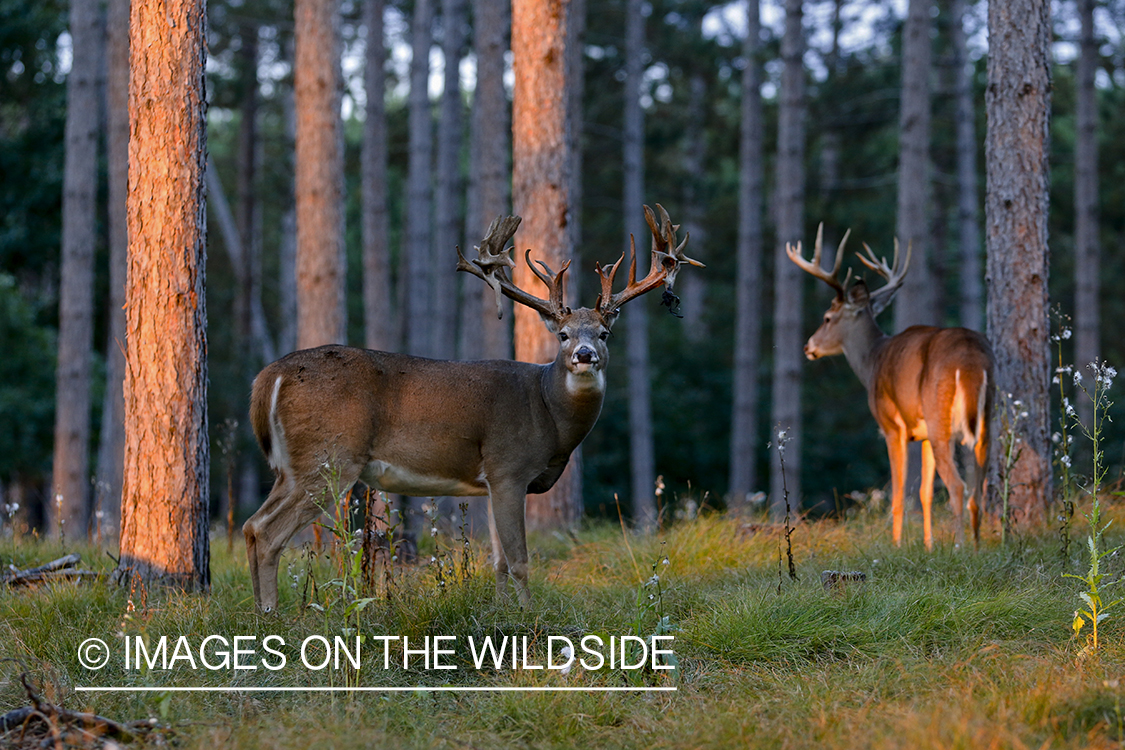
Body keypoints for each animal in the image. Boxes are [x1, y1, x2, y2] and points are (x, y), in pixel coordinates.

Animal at [244, 203, 702, 611]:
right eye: (564, 335)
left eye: (605, 333)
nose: (585, 354)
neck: (549, 415)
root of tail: (268, 376)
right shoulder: (508, 466)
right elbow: (519, 560)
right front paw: (530, 616)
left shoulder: (490, 482)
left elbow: (497, 561)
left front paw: (501, 613)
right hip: (331, 457)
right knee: (267, 531)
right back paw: (271, 615)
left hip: (294, 466)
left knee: (251, 525)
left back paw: (260, 613)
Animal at [792, 226, 994, 548]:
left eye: (827, 318)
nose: (808, 346)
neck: (872, 360)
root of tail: (972, 359)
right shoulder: (923, 434)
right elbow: (924, 492)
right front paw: (929, 546)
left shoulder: (892, 426)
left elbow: (898, 494)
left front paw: (897, 545)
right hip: (986, 416)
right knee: (979, 485)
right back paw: (976, 547)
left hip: (940, 416)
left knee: (958, 485)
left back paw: (960, 546)